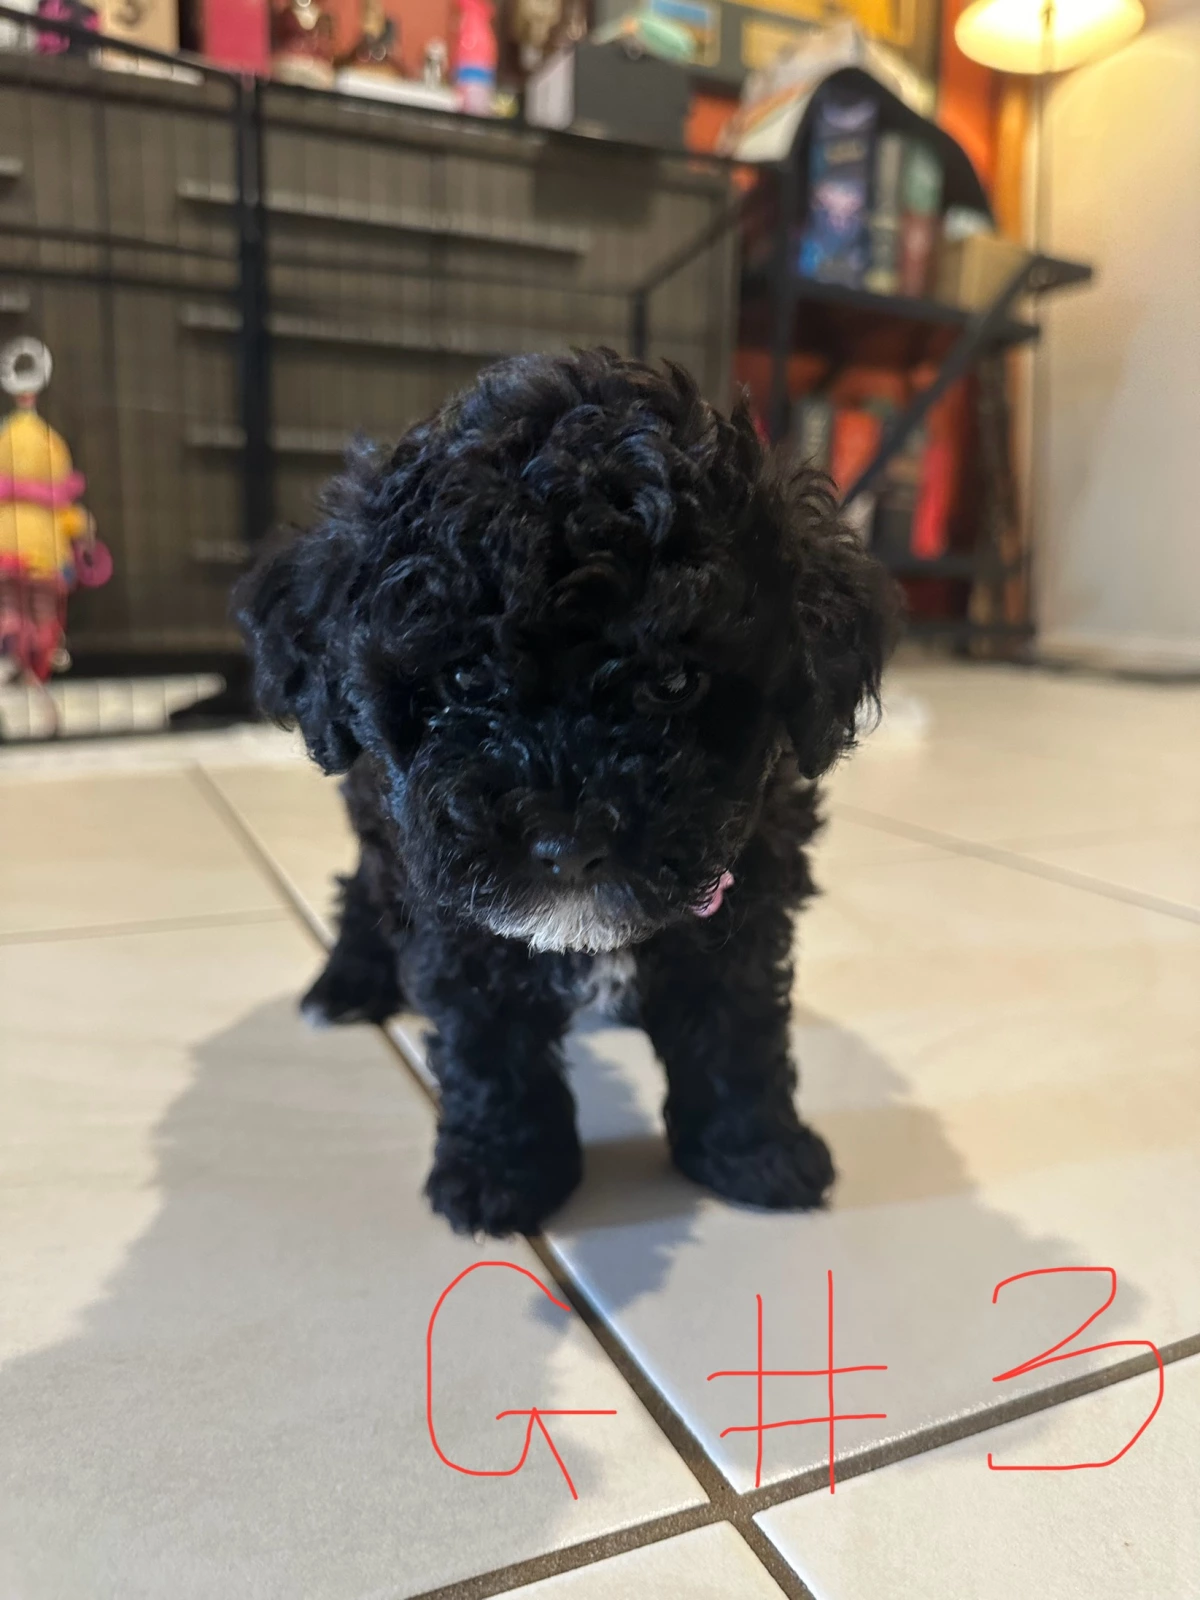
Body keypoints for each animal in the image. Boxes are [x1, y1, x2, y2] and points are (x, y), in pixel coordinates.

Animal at [236, 350, 894, 1237]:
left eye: (675, 682)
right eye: (466, 680)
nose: (569, 845)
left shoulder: (749, 897)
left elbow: (738, 1027)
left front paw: (753, 1154)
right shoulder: (456, 914)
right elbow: (488, 1042)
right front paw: (501, 1176)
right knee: (363, 889)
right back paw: (347, 983)